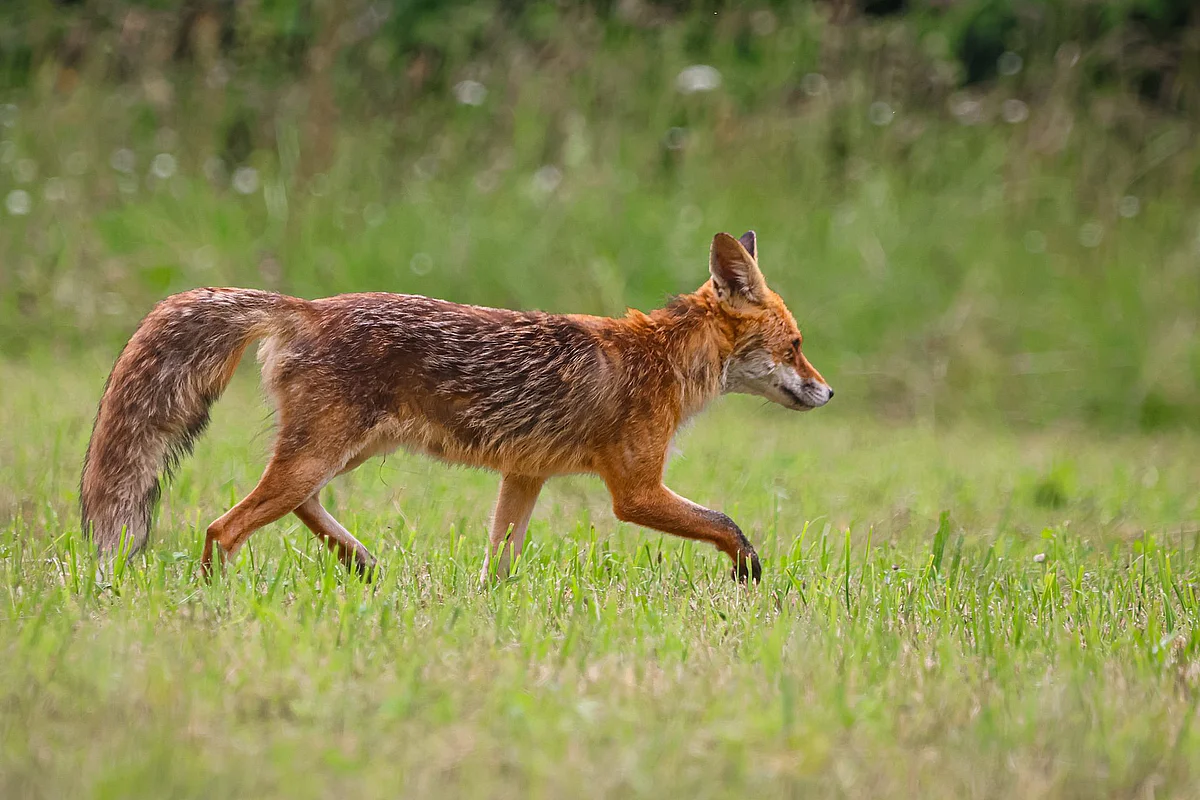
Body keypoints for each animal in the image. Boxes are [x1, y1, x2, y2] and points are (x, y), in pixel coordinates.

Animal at [80, 231, 832, 583]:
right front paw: (749, 573)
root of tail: (309, 307)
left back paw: (361, 562)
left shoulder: (525, 475)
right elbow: (727, 522)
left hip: (343, 452)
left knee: (295, 506)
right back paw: (212, 601)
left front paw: (488, 612)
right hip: (324, 453)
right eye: (797, 346)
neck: (661, 360)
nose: (830, 393)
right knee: (222, 528)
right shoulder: (635, 492)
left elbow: (498, 564)